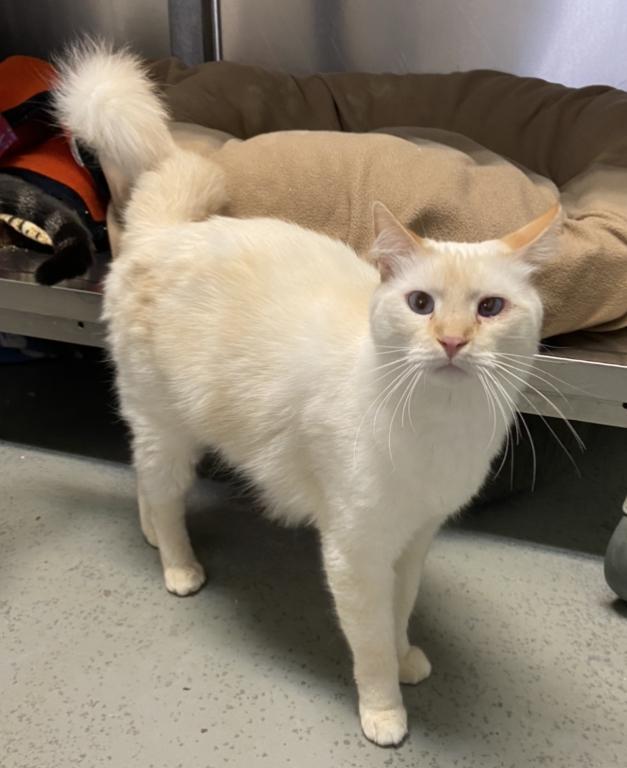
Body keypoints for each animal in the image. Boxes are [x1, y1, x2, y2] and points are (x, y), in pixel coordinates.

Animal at [56, 46, 560, 744]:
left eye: (490, 308)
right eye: (421, 304)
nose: (453, 341)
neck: (440, 428)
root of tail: (163, 231)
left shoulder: (413, 542)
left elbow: (401, 614)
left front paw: (407, 659)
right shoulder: (357, 553)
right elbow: (370, 645)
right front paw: (385, 711)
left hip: (161, 432)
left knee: (145, 485)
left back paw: (153, 536)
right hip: (167, 429)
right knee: (162, 492)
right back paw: (178, 566)